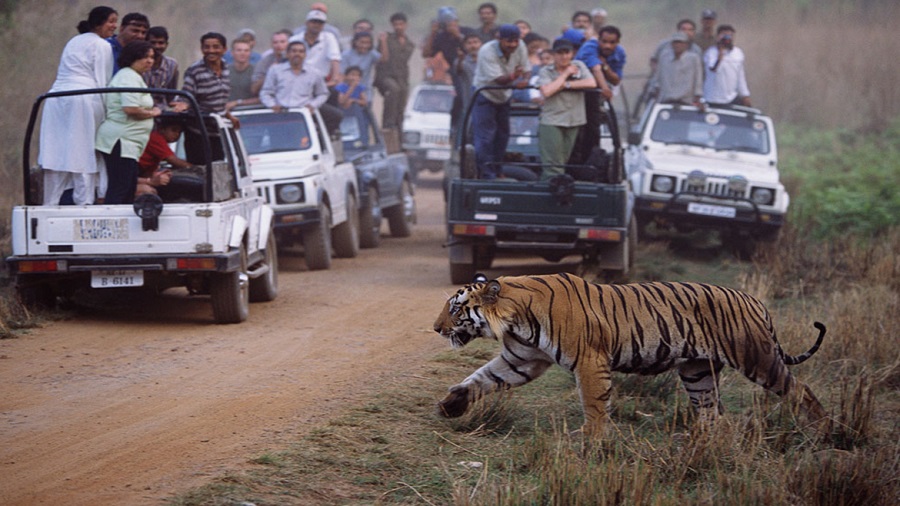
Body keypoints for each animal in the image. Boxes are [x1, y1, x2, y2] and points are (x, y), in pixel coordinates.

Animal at [434, 272, 828, 438]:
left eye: (455, 308)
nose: (436, 328)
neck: (516, 317)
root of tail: (755, 300)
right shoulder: (523, 360)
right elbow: (483, 377)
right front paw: (451, 405)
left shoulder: (590, 361)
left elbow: (595, 405)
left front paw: (590, 440)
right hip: (698, 371)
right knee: (713, 413)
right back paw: (700, 446)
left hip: (757, 358)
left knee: (801, 390)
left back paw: (824, 430)